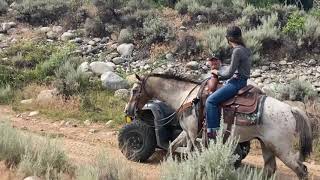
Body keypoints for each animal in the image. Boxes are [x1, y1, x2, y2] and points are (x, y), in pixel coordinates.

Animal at [125, 73, 312, 180]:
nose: (128, 110)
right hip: (267, 145)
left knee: (301, 170)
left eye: (134, 90)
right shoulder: (187, 132)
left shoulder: (192, 133)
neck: (186, 96)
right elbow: (172, 147)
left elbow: (191, 154)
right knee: (270, 169)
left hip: (281, 148)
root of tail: (290, 109)